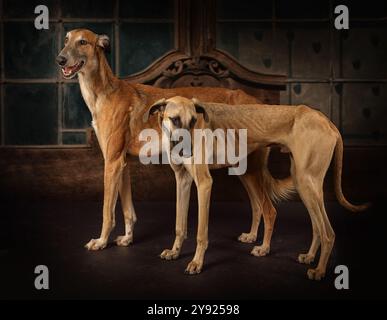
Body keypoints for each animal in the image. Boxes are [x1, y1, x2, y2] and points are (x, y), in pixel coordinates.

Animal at [55, 29, 294, 260]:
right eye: (66, 40)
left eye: (83, 42)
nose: (60, 59)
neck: (104, 91)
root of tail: (257, 101)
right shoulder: (122, 163)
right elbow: (127, 209)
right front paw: (127, 238)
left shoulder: (112, 163)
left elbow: (107, 211)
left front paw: (101, 241)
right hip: (243, 169)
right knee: (257, 206)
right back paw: (252, 236)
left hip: (251, 170)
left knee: (269, 210)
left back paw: (263, 248)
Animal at [147, 95, 372, 280]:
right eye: (175, 119)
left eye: (194, 121)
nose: (188, 150)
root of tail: (328, 122)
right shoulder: (182, 181)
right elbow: (179, 224)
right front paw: (175, 251)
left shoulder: (204, 184)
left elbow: (201, 233)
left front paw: (196, 263)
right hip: (284, 180)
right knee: (308, 223)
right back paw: (306, 256)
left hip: (304, 182)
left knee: (323, 231)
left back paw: (316, 269)